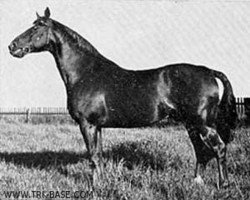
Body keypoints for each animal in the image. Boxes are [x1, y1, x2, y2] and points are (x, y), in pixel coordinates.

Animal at [8, 7, 237, 188]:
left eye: (37, 27)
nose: (12, 46)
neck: (85, 73)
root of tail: (208, 71)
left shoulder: (87, 124)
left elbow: (92, 157)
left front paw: (95, 188)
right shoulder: (97, 126)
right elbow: (99, 156)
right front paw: (101, 183)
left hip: (203, 124)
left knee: (219, 148)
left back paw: (223, 184)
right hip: (191, 124)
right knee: (200, 151)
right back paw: (196, 182)